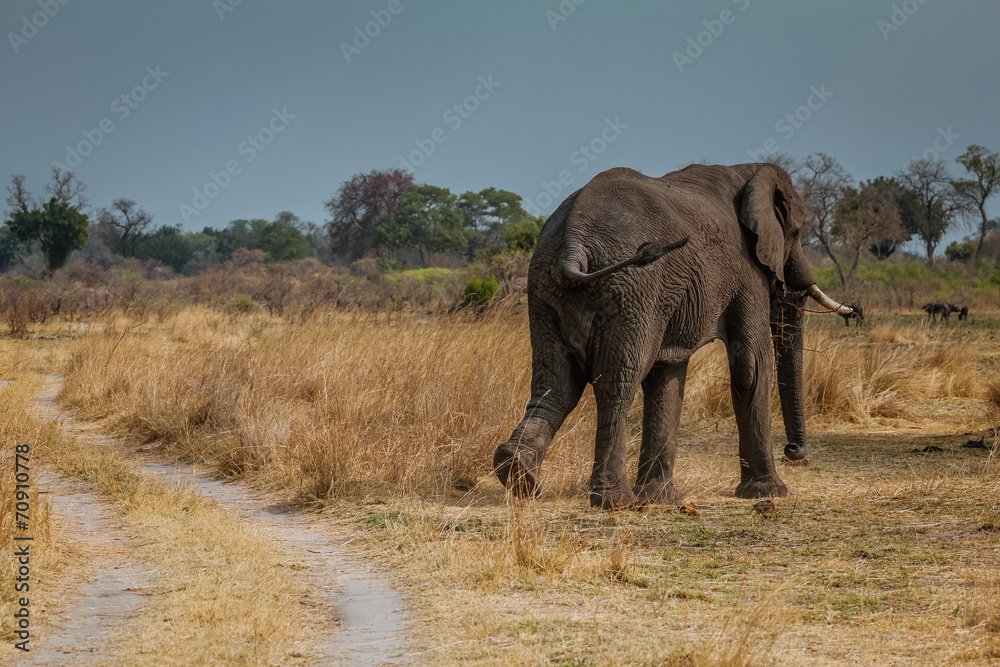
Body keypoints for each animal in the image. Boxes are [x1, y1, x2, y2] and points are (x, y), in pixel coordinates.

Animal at [493, 163, 851, 509]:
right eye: (797, 231)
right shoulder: (746, 272)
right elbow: (752, 366)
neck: (748, 172)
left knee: (556, 384)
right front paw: (770, 492)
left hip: (547, 289)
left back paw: (517, 473)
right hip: (633, 290)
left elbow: (667, 376)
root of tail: (572, 241)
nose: (793, 451)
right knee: (618, 384)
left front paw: (660, 497)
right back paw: (616, 501)